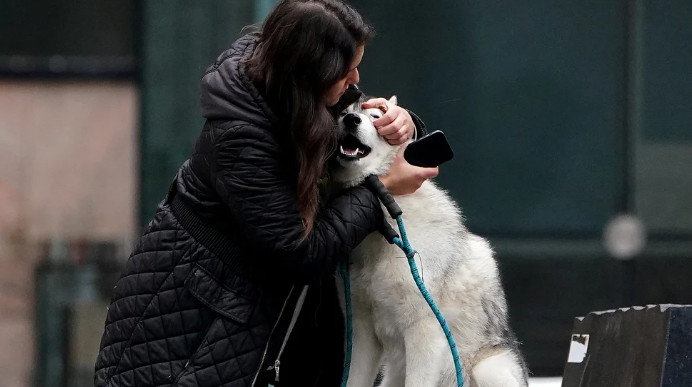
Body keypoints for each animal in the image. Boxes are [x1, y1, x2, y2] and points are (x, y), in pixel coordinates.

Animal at [332, 94, 528, 387]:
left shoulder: (425, 331)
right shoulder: (361, 332)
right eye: (343, 113)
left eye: (376, 118)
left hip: (488, 370)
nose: (351, 119)